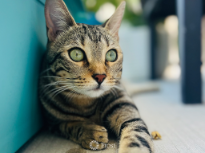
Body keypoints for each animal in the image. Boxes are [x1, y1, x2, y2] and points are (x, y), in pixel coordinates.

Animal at [38, 0, 154, 152]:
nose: (100, 77)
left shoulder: (125, 106)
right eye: (76, 54)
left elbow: (137, 135)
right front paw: (90, 132)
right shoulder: (52, 123)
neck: (86, 105)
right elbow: (70, 125)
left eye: (111, 55)